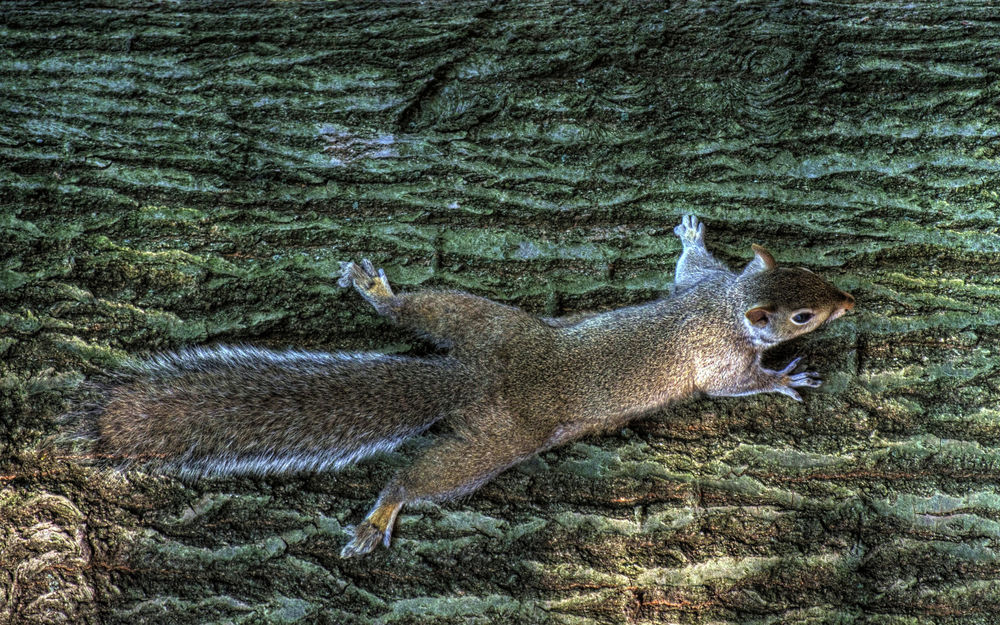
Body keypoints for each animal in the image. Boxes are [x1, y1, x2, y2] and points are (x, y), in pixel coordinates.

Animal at [90, 215, 855, 557]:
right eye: (802, 316)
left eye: (812, 276)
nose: (850, 301)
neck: (725, 306)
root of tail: (469, 374)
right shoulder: (719, 355)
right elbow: (734, 386)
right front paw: (785, 378)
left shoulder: (702, 287)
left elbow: (690, 264)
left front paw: (694, 233)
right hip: (492, 444)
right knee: (419, 478)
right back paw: (380, 514)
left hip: (476, 321)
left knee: (418, 311)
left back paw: (378, 294)